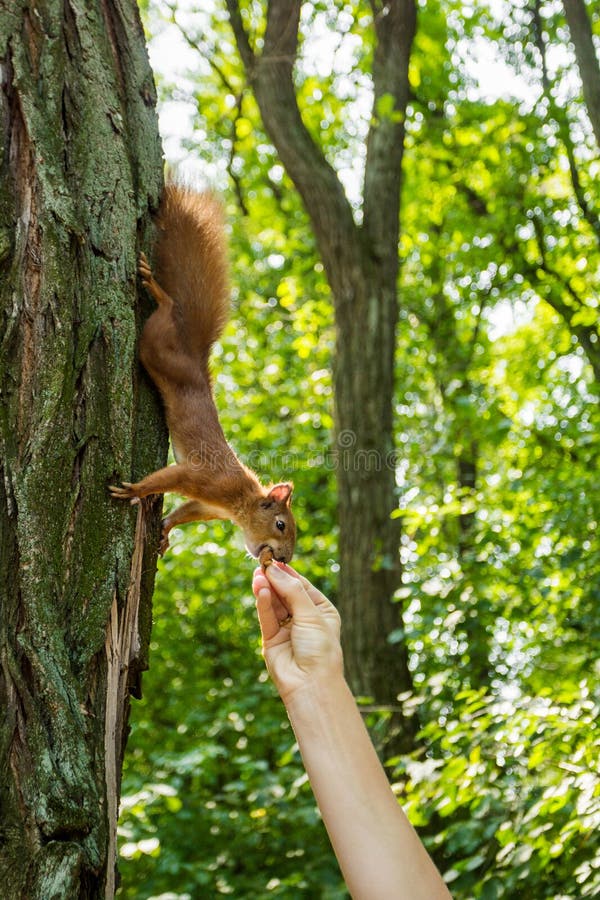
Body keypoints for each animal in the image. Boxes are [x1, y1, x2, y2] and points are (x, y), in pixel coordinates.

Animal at [110, 183, 296, 564]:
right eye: (281, 524)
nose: (285, 559)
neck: (241, 501)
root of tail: (196, 357)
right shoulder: (204, 479)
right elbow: (166, 479)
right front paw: (135, 489)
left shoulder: (207, 505)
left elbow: (186, 511)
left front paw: (165, 529)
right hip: (159, 350)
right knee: (165, 313)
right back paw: (157, 290)